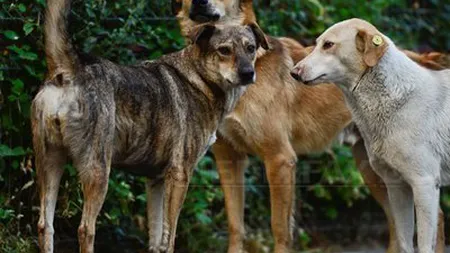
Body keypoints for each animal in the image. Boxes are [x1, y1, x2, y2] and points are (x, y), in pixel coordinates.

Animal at [32, 0, 270, 253]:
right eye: (224, 50)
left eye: (251, 48)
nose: (248, 73)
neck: (199, 77)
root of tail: (69, 69)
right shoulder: (180, 175)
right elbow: (170, 236)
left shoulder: (155, 181)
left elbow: (157, 238)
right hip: (97, 170)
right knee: (85, 229)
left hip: (49, 163)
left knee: (45, 225)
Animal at [290, 18, 450, 253]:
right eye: (318, 43)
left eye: (328, 45)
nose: (293, 72)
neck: (397, 100)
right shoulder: (397, 186)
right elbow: (404, 242)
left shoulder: (424, 184)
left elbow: (422, 245)